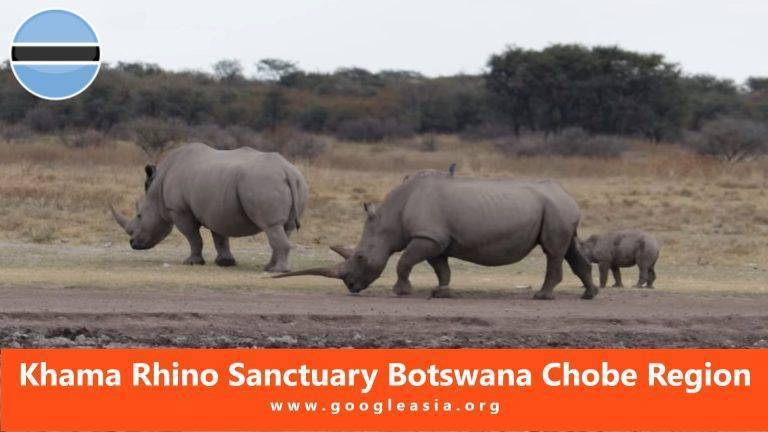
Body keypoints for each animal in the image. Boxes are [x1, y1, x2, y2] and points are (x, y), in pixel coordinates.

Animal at [110, 142, 308, 272]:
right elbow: (220, 237)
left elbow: (193, 237)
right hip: (296, 182)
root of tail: (287, 172)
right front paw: (225, 263)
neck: (156, 192)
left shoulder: (179, 210)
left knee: (271, 226)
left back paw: (277, 271)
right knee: (285, 228)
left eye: (139, 216)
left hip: (263, 182)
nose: (133, 244)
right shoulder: (217, 209)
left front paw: (191, 262)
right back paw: (269, 267)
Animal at [276, 170, 598, 300]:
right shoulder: (436, 239)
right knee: (569, 249)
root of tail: (567, 195)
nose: (352, 287)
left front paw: (401, 292)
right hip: (558, 208)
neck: (390, 218)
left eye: (361, 257)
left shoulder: (427, 237)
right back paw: (588, 295)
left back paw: (543, 296)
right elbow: (441, 268)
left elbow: (404, 261)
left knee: (553, 251)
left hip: (555, 209)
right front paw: (441, 292)